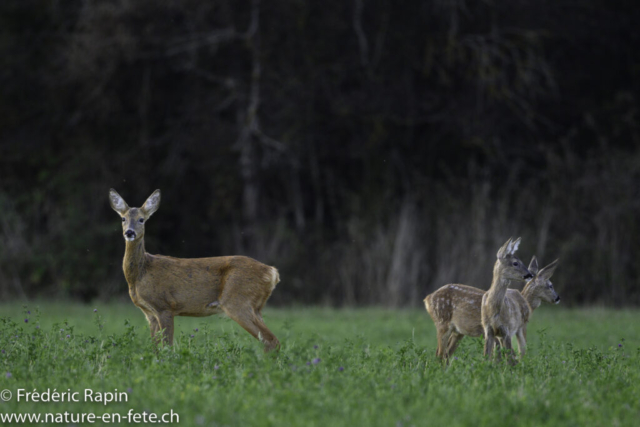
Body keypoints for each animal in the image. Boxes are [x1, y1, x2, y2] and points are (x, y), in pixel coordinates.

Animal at [109, 189, 282, 352]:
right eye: (123, 219)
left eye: (141, 219)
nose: (129, 232)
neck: (141, 274)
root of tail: (272, 272)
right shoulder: (149, 313)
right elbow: (155, 349)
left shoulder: (165, 306)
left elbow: (167, 347)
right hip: (256, 307)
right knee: (271, 340)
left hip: (238, 301)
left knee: (272, 340)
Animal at [424, 256, 560, 362]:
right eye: (550, 285)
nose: (557, 298)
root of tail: (427, 299)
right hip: (443, 322)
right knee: (440, 354)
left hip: (458, 331)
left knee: (445, 354)